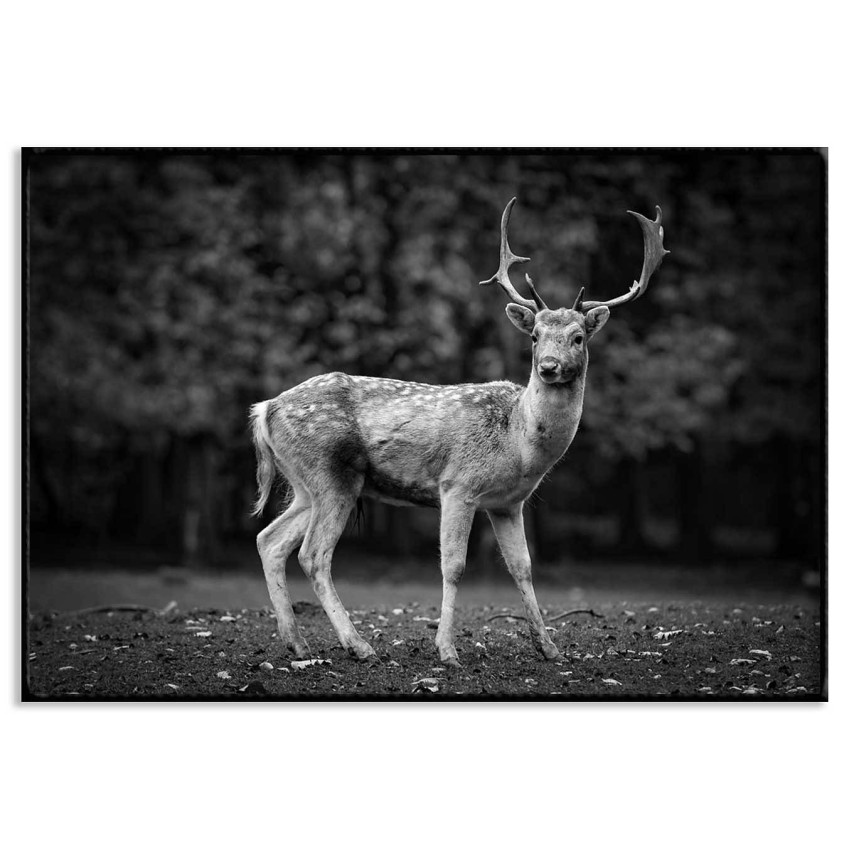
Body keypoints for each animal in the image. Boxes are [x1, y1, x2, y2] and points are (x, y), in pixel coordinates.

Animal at [251, 198, 669, 667]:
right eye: (535, 336)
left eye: (578, 337)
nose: (548, 366)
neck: (519, 445)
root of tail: (264, 410)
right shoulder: (458, 485)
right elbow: (453, 566)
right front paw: (447, 650)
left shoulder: (508, 504)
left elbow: (523, 567)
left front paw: (550, 648)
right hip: (332, 474)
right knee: (313, 554)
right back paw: (359, 646)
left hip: (305, 484)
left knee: (269, 539)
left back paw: (297, 642)